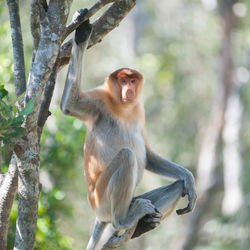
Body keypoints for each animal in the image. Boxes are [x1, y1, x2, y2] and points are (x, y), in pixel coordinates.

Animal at [60, 9, 197, 250]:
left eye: (133, 80)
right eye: (123, 81)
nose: (129, 91)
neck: (122, 106)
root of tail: (98, 214)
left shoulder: (139, 110)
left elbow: (149, 155)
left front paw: (189, 178)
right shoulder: (99, 100)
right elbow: (70, 105)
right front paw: (82, 34)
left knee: (175, 186)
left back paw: (144, 224)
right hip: (102, 200)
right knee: (126, 156)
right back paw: (123, 220)